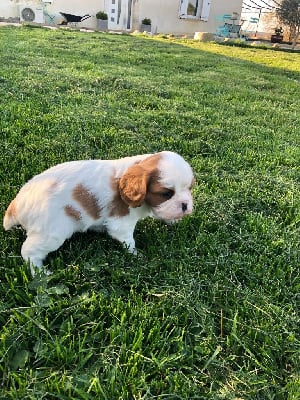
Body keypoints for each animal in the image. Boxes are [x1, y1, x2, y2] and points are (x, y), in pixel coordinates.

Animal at [3, 151, 195, 276]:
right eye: (166, 194)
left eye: (190, 188)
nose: (186, 205)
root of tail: (17, 203)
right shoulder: (121, 222)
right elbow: (128, 240)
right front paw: (136, 255)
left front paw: (174, 221)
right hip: (51, 233)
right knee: (28, 251)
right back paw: (40, 272)